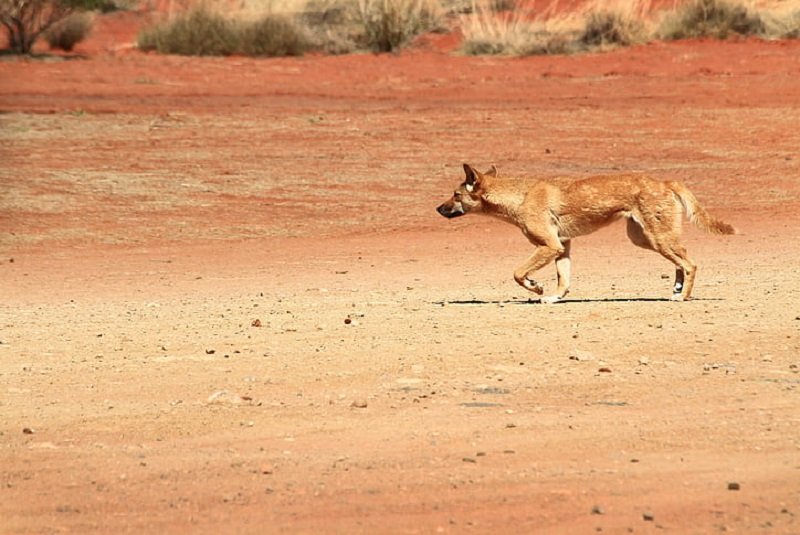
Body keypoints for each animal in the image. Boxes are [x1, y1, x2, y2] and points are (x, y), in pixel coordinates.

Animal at [438, 163, 736, 302]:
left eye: (455, 195)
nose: (438, 208)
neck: (520, 197)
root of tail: (665, 181)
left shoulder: (549, 246)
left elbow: (518, 273)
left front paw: (536, 287)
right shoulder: (562, 246)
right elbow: (564, 280)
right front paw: (554, 297)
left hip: (656, 237)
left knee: (690, 263)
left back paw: (683, 296)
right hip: (645, 239)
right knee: (680, 262)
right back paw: (676, 289)